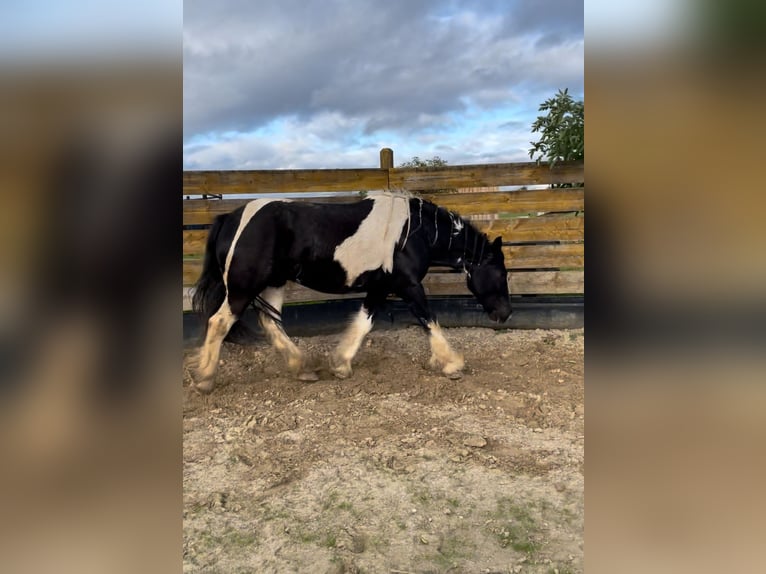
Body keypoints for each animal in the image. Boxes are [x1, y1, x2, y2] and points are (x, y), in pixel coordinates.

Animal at [191, 192, 511, 393]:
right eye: (501, 272)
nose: (505, 314)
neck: (413, 232)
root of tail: (229, 218)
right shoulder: (408, 285)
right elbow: (428, 319)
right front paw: (452, 363)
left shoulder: (381, 287)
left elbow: (364, 322)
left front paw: (341, 364)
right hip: (244, 286)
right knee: (219, 323)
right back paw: (205, 380)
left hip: (273, 284)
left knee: (270, 322)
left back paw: (302, 368)